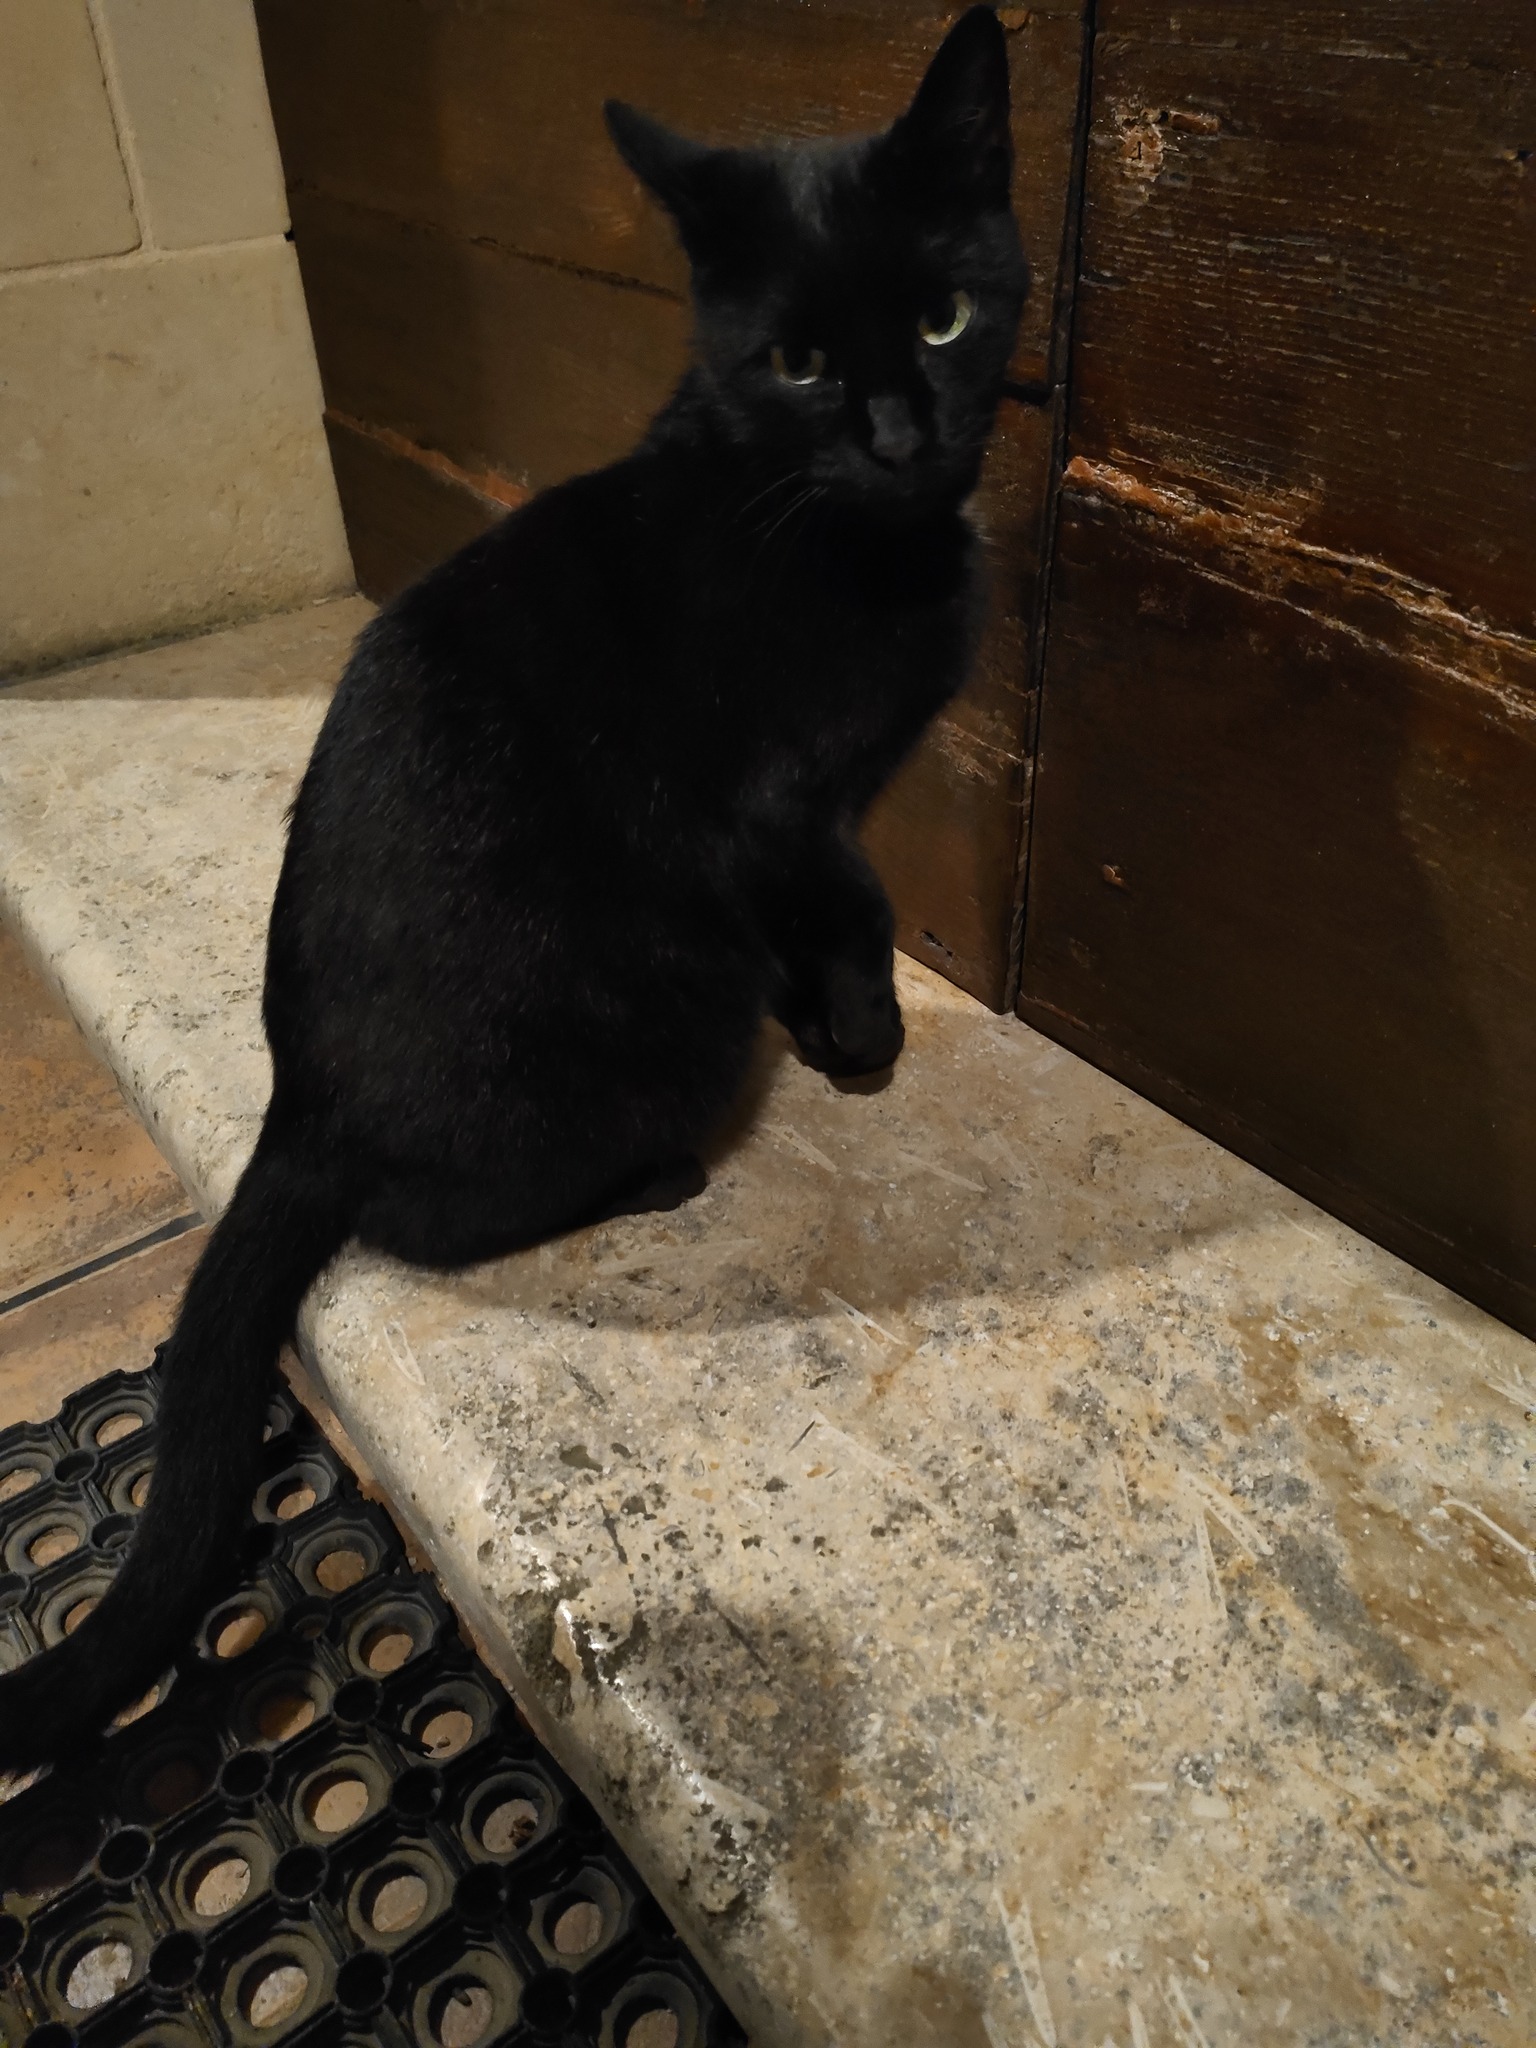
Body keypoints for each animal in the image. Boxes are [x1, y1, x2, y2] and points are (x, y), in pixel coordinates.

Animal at [0, 4, 1026, 1767]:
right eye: (799, 364)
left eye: (944, 316)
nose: (900, 435)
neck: (843, 527)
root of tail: (297, 1101)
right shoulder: (784, 808)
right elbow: (854, 908)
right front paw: (862, 1036)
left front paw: (845, 1030)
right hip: (650, 1020)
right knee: (430, 1220)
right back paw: (658, 1175)